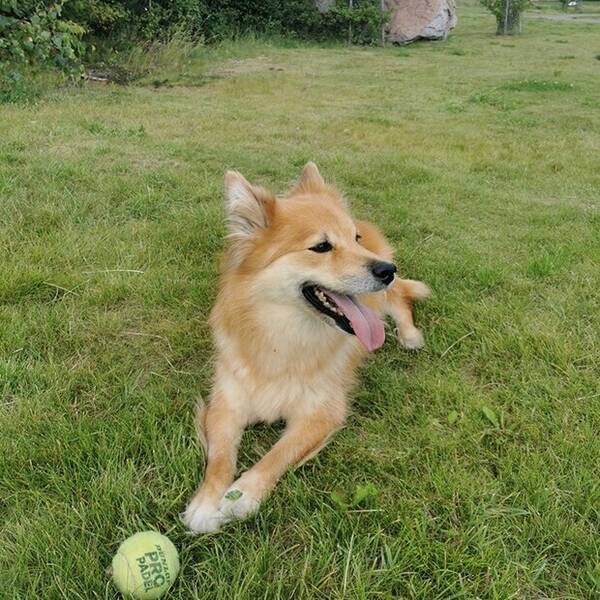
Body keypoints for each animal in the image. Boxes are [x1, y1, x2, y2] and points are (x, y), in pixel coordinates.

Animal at [180, 162, 428, 532]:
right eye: (321, 247)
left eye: (354, 239)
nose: (388, 270)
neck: (282, 339)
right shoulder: (227, 401)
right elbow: (220, 456)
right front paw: (207, 502)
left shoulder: (320, 414)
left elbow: (277, 455)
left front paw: (242, 495)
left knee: (399, 299)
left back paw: (409, 334)